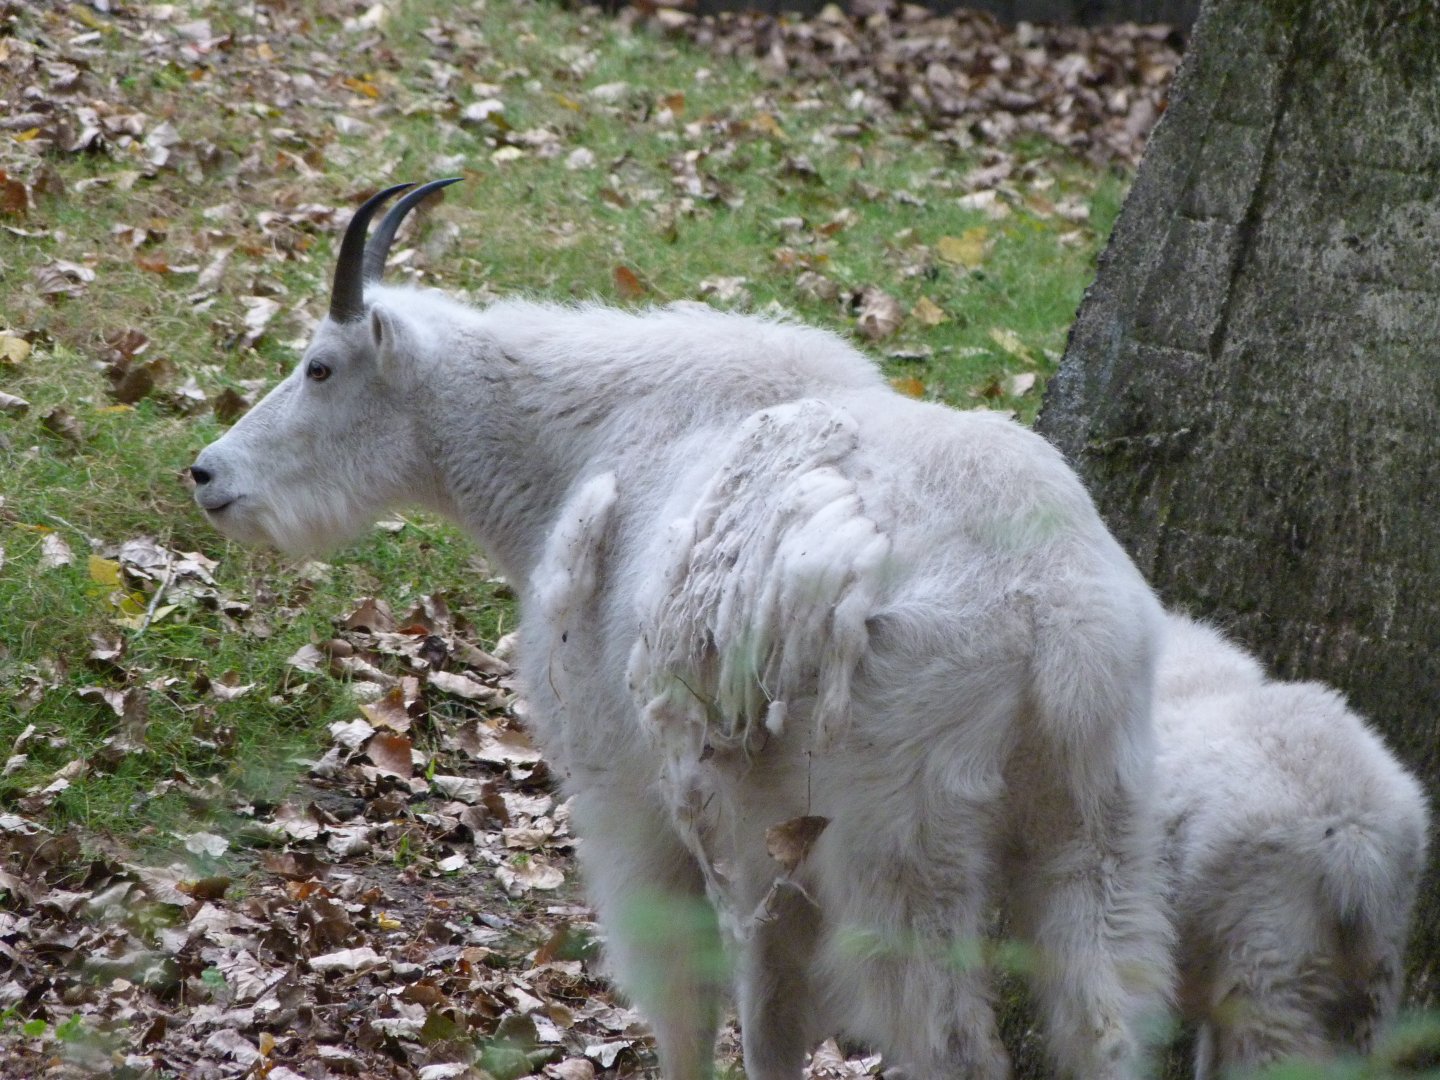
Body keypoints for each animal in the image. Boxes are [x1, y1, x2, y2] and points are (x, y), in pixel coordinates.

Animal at [190, 180, 1174, 1079]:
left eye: (320, 367)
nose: (208, 473)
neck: (578, 445)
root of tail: (1055, 622)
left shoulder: (634, 797)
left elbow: (702, 1000)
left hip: (902, 847)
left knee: (950, 1044)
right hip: (1098, 826)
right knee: (1106, 1027)